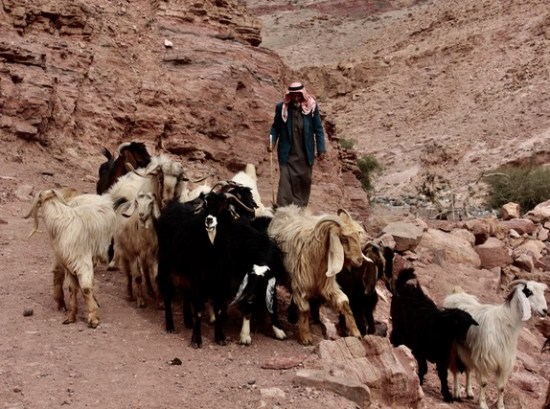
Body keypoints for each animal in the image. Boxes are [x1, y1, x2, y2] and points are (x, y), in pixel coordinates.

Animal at [25, 189, 116, 328]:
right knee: (59, 275)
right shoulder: (69, 264)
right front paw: (71, 317)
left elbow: (85, 288)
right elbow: (72, 289)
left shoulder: (82, 262)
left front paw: (93, 318)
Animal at [267, 204, 368, 345]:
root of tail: (284, 209)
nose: (359, 260)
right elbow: (304, 310)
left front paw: (355, 332)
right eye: (344, 238)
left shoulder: (327, 286)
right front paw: (305, 337)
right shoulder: (301, 285)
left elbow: (344, 302)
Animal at [389, 268, 479, 402]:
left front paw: (447, 395)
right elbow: (424, 368)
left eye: (468, 325)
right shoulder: (419, 350)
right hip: (399, 328)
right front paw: (419, 383)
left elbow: (443, 374)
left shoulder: (442, 357)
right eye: (456, 322)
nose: (463, 338)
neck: (440, 331)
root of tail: (404, 286)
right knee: (394, 337)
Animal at [443, 280, 548, 409]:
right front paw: (483, 404)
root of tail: (456, 293)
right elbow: (483, 383)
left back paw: (469, 392)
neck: (505, 323)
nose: (545, 310)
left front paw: (501, 406)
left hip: (467, 349)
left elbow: (502, 387)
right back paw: (457, 393)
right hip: (453, 346)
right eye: (529, 292)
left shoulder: (504, 362)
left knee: (468, 369)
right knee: (455, 370)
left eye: (543, 292)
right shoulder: (484, 358)